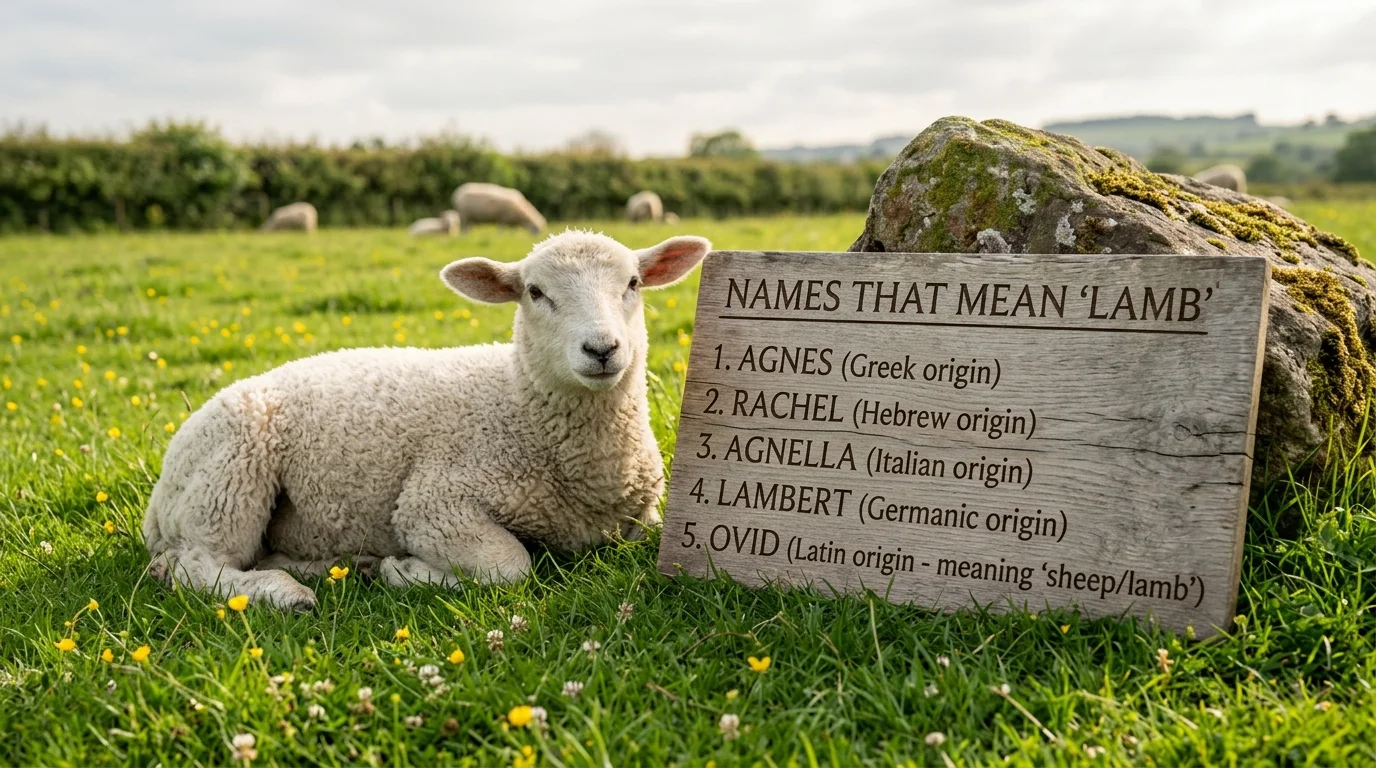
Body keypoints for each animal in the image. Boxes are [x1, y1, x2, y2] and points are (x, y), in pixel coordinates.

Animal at [142, 230, 711, 610]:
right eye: (534, 292)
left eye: (633, 283)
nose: (602, 349)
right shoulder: (434, 502)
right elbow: (509, 567)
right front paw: (408, 571)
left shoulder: (641, 520)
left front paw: (391, 569)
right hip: (229, 475)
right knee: (197, 567)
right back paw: (285, 593)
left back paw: (334, 567)